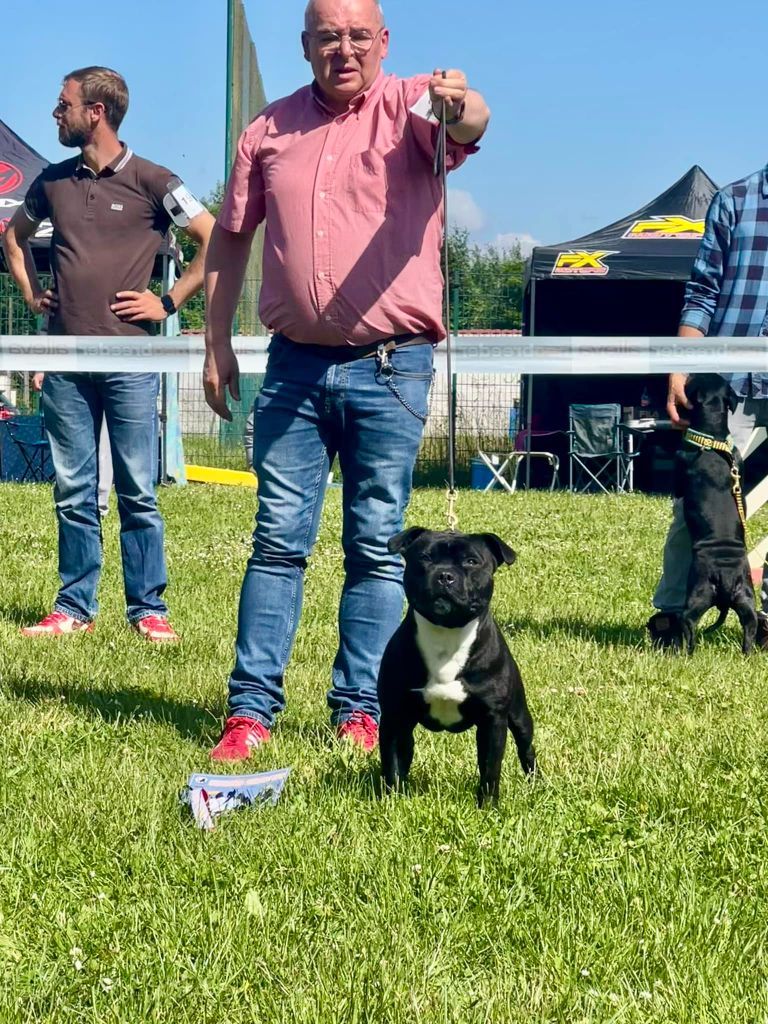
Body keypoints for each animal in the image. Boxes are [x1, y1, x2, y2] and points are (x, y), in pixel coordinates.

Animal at [671, 372, 757, 651]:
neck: (712, 437)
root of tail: (727, 578)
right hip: (746, 600)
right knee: (749, 628)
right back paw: (748, 653)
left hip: (698, 597)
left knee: (688, 625)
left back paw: (684, 651)